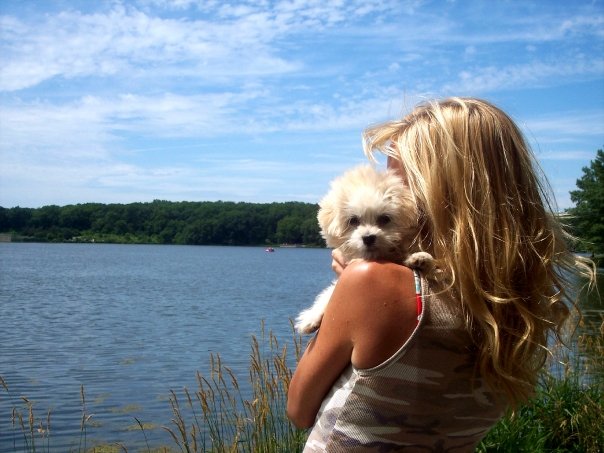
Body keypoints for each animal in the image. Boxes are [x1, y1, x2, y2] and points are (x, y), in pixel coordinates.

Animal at [294, 164, 432, 334]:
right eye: (353, 220)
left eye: (384, 218)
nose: (368, 237)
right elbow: (329, 292)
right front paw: (310, 318)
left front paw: (419, 258)